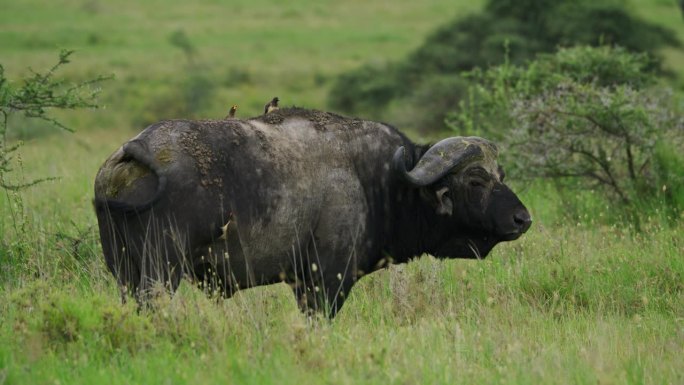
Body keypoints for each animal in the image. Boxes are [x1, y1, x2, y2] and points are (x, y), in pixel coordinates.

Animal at [93, 107, 532, 316]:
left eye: (501, 175)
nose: (522, 219)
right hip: (160, 271)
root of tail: (135, 151)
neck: (381, 180)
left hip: (124, 273)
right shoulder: (326, 282)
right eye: (476, 181)